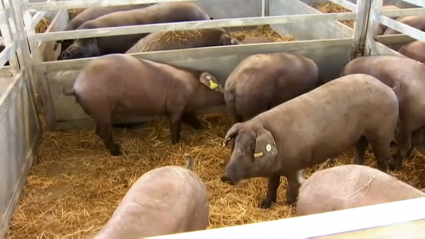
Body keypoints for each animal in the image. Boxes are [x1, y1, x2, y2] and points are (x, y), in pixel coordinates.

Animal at [62, 53, 225, 156]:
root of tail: (76, 86)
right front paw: (176, 143)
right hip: (103, 110)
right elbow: (175, 124)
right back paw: (118, 152)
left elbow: (191, 119)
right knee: (104, 132)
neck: (192, 88)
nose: (226, 93)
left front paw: (202, 129)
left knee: (97, 131)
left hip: (98, 114)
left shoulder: (184, 108)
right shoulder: (175, 106)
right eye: (218, 85)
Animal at [219, 74, 398, 207]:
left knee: (384, 158)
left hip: (382, 133)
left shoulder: (296, 167)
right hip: (361, 134)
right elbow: (272, 186)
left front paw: (289, 205)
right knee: (361, 147)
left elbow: (291, 189)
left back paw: (384, 173)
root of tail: (389, 89)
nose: (225, 176)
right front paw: (264, 205)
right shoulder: (275, 171)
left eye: (252, 147)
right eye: (235, 144)